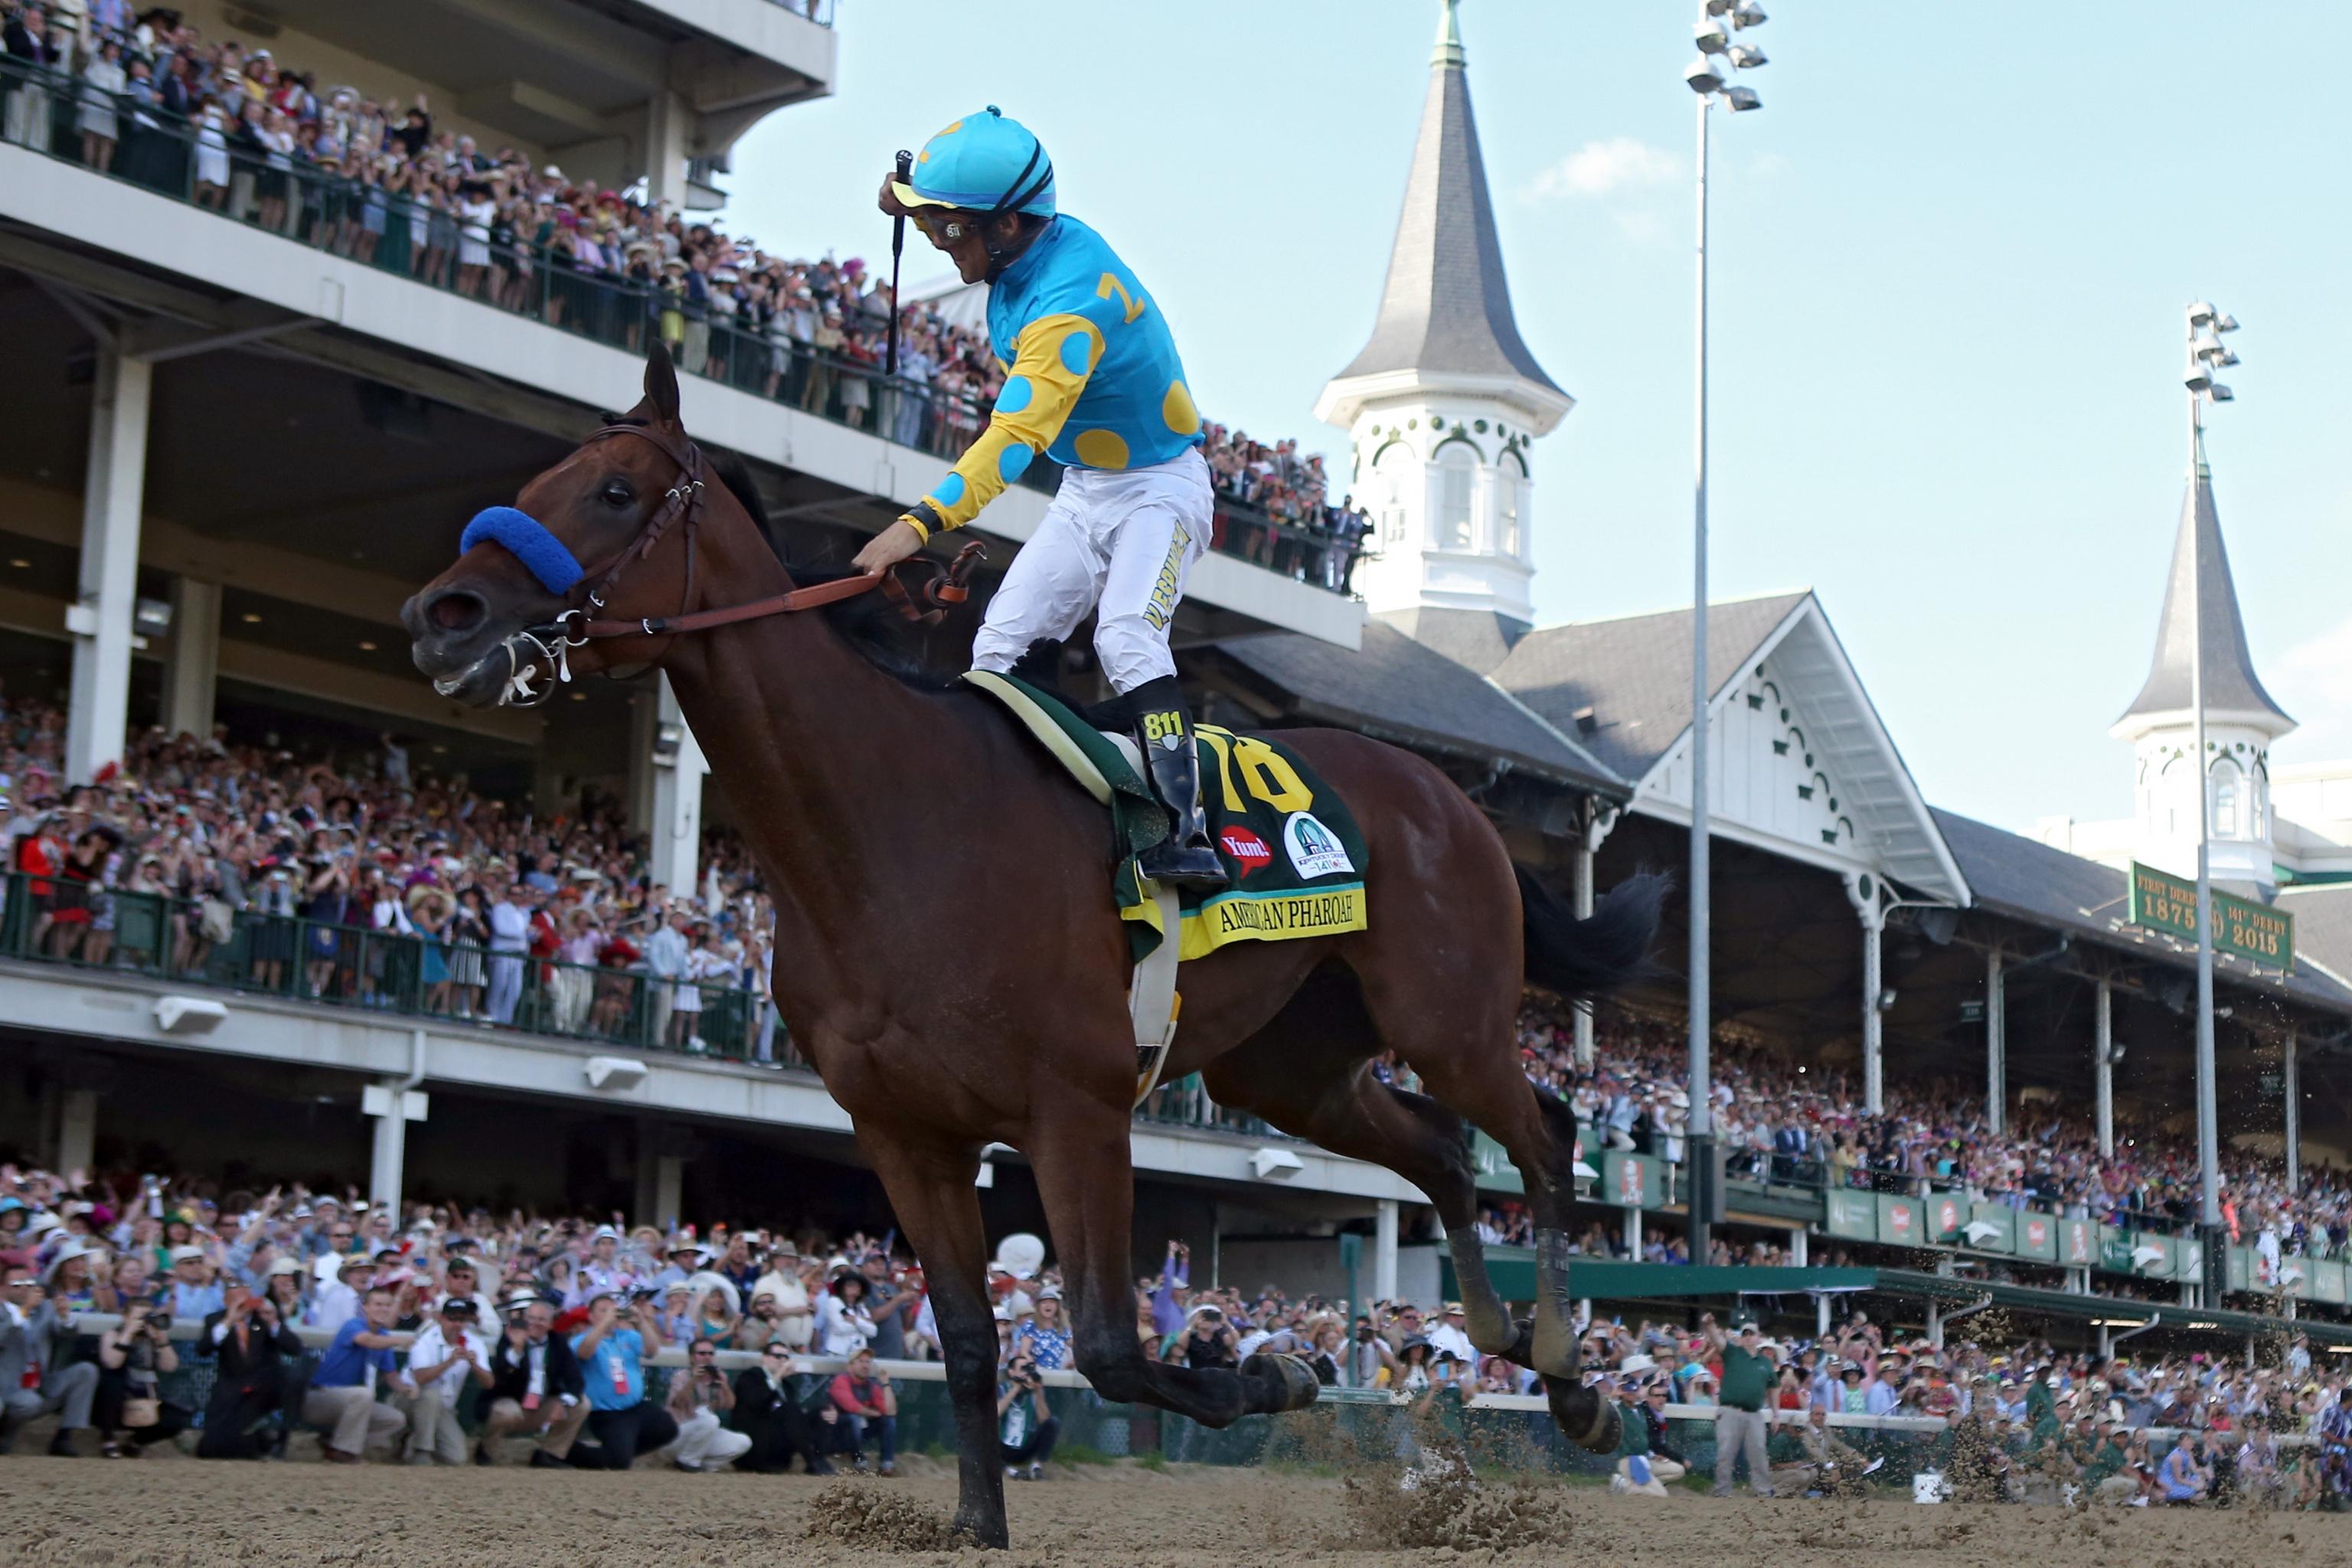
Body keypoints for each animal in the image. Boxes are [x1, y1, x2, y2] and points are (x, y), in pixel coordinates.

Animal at [400, 345, 1655, 1542]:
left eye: (614, 491)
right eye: (535, 483)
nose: (440, 615)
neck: (887, 827)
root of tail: (1451, 796)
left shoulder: (1078, 1109)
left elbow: (1105, 1346)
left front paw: (1276, 1375)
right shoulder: (907, 1133)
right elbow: (967, 1339)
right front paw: (977, 1522)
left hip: (1446, 1018)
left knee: (1542, 1133)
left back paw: (1567, 1371)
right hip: (1290, 1069)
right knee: (1444, 1150)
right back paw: (1516, 1345)